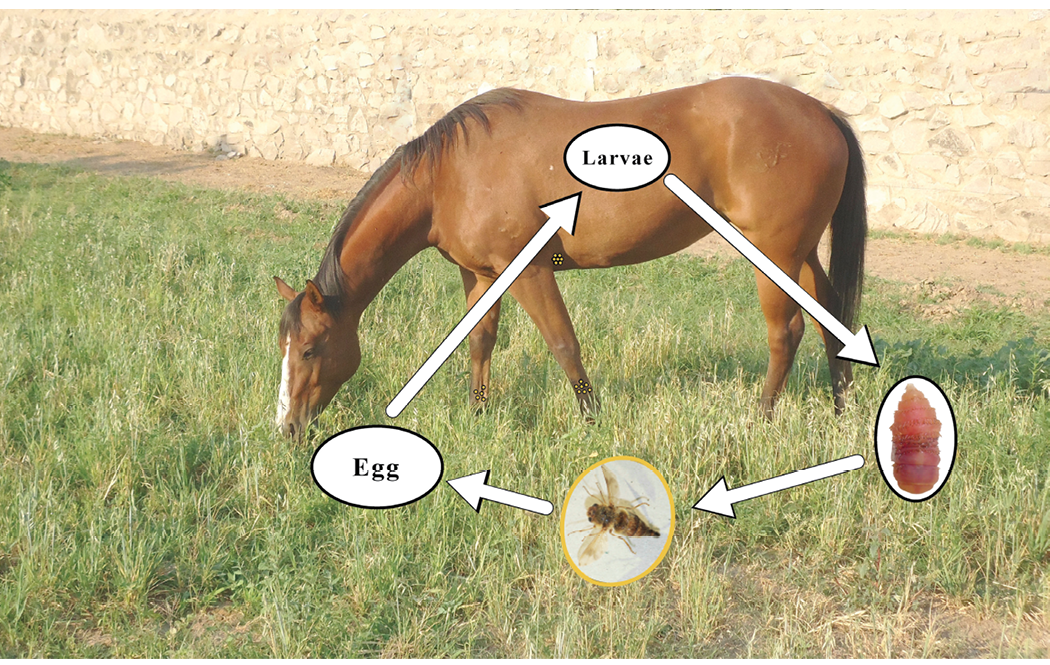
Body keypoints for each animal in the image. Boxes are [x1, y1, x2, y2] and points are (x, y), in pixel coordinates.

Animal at [275, 76, 865, 434]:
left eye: (309, 349)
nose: (288, 428)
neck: (449, 175)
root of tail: (820, 111)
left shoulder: (530, 272)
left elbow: (564, 345)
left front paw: (591, 420)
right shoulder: (480, 275)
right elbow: (480, 343)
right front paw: (478, 413)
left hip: (775, 254)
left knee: (785, 333)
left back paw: (760, 419)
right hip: (801, 254)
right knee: (830, 321)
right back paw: (840, 411)